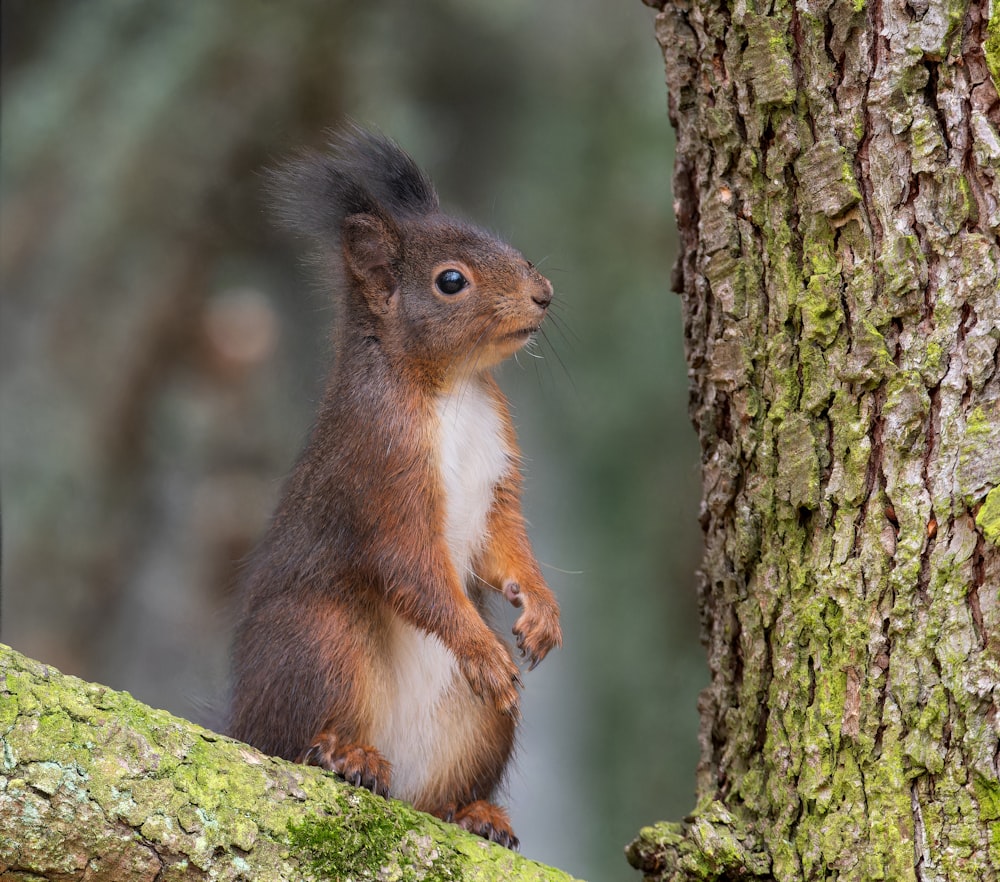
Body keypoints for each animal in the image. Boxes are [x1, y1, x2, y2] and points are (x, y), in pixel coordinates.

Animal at [229, 125, 568, 844]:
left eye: (505, 241)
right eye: (450, 282)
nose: (545, 293)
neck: (453, 386)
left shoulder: (500, 477)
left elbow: (505, 546)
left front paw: (542, 611)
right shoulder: (380, 472)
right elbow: (409, 566)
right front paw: (483, 648)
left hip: (481, 722)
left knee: (443, 796)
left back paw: (475, 813)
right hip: (318, 642)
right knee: (292, 738)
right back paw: (343, 752)